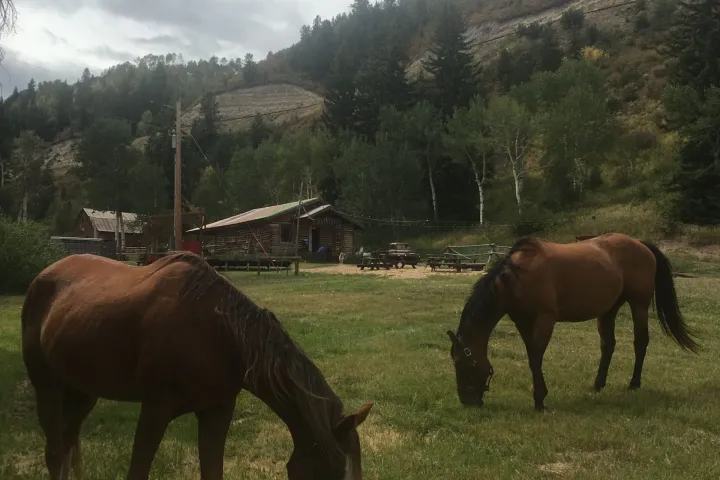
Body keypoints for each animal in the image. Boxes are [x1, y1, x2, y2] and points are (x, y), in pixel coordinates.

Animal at [21, 251, 374, 479]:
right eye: (334, 472)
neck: (221, 336)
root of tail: (42, 276)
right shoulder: (155, 410)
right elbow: (137, 471)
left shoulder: (217, 412)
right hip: (47, 387)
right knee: (55, 452)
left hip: (84, 393)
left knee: (67, 443)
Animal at [446, 232, 700, 412]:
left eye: (463, 363)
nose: (467, 400)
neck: (517, 278)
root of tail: (641, 244)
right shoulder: (522, 321)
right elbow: (531, 356)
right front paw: (541, 395)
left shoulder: (545, 319)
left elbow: (536, 357)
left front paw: (540, 401)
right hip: (609, 309)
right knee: (608, 344)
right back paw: (598, 385)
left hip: (639, 303)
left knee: (640, 341)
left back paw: (634, 384)